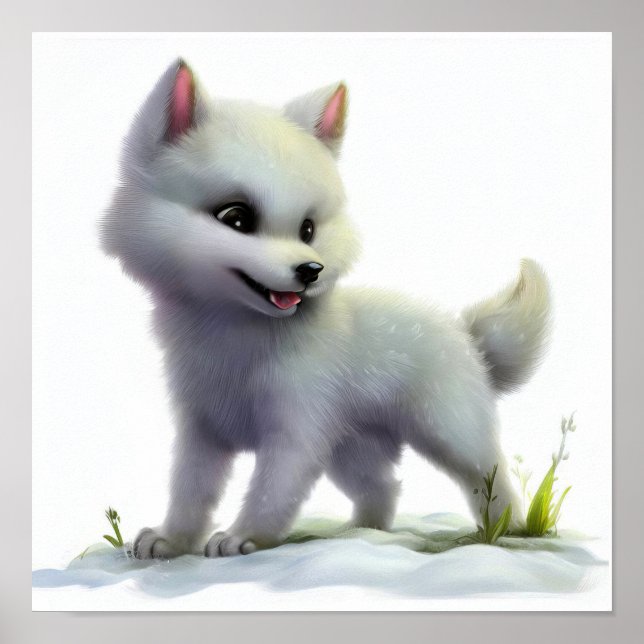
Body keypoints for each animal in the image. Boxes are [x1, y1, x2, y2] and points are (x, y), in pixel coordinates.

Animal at [100, 59, 550, 558]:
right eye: (236, 218)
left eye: (308, 229)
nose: (310, 269)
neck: (233, 339)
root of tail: (464, 331)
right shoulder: (202, 428)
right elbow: (190, 491)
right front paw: (172, 540)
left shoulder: (296, 428)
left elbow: (270, 490)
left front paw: (243, 537)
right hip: (350, 450)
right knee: (384, 486)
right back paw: (363, 533)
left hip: (451, 431)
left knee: (491, 477)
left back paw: (506, 529)